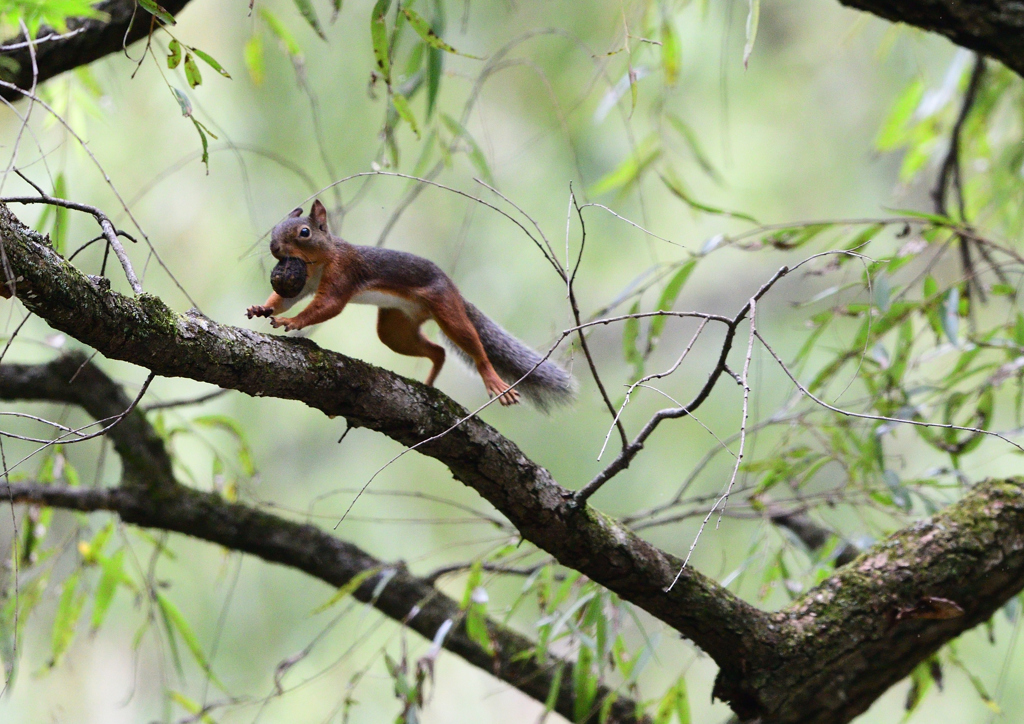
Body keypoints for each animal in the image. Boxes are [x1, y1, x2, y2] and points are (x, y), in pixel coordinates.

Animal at [242, 200, 573, 411]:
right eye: (276, 227)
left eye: (304, 232)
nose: (274, 247)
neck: (319, 261)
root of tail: (455, 291)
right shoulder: (305, 282)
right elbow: (283, 300)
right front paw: (262, 309)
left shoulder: (343, 274)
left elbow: (329, 305)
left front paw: (294, 322)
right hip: (395, 328)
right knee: (437, 352)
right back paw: (428, 384)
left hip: (446, 309)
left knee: (472, 344)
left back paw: (492, 379)